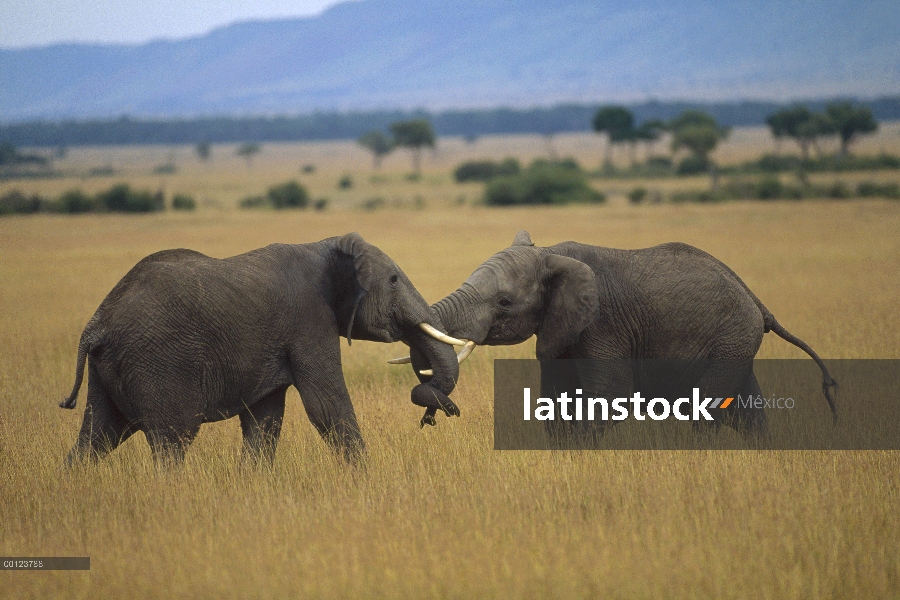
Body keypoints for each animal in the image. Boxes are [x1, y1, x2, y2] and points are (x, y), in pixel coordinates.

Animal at [59, 233, 464, 464]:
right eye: (394, 280)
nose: (439, 416)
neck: (325, 246)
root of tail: (96, 326)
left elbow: (265, 420)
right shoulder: (309, 319)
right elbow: (326, 404)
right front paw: (365, 479)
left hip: (111, 370)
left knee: (96, 438)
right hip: (156, 365)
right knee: (171, 442)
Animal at [400, 230, 836, 436]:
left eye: (504, 302)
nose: (433, 418)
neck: (551, 253)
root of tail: (758, 303)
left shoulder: (602, 324)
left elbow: (609, 397)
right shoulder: (560, 330)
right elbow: (555, 401)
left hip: (731, 340)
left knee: (710, 411)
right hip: (737, 343)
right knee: (747, 411)